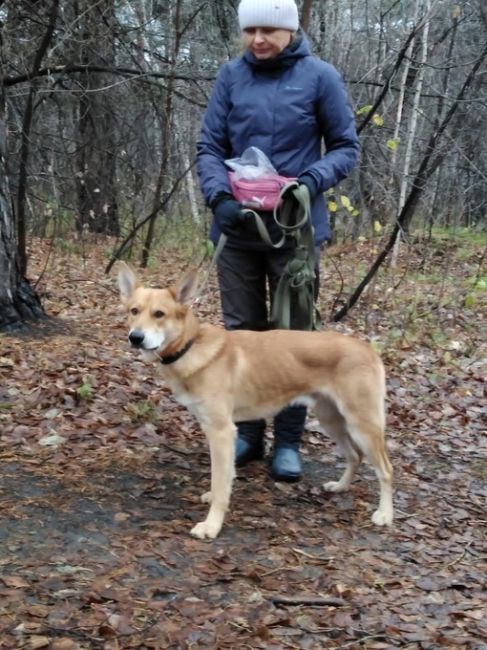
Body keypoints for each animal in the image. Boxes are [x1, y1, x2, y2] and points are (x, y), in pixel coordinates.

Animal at [119, 260, 396, 540]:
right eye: (134, 311)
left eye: (159, 314)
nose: (135, 337)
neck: (191, 346)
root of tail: (368, 350)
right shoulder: (218, 432)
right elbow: (223, 478)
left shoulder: (221, 431)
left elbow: (220, 483)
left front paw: (212, 525)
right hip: (332, 421)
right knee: (354, 456)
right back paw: (340, 487)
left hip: (362, 426)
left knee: (385, 470)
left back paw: (385, 514)